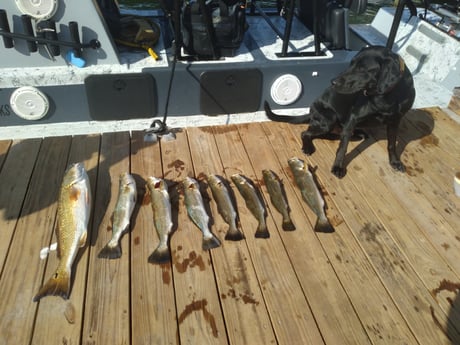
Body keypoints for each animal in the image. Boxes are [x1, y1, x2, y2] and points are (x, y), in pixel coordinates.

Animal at [264, 45, 416, 177]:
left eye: (362, 69)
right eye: (351, 63)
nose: (333, 82)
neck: (387, 96)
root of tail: (312, 111)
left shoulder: (395, 121)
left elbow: (392, 144)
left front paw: (395, 162)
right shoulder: (353, 118)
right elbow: (342, 148)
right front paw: (337, 167)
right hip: (329, 119)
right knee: (306, 133)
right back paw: (309, 147)